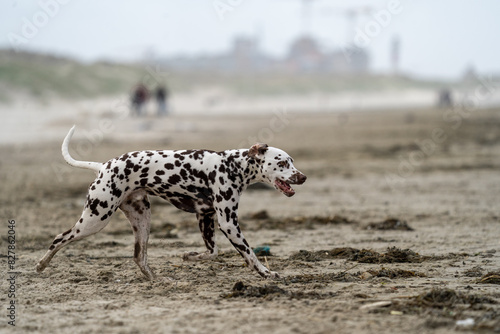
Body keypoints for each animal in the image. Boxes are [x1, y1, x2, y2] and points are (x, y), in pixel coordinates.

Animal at [35, 125, 306, 280]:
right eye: (282, 163)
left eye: (292, 162)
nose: (302, 177)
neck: (232, 165)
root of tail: (103, 166)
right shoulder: (228, 223)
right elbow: (249, 253)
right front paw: (265, 272)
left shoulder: (206, 217)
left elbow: (213, 252)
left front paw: (191, 256)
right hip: (94, 219)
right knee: (59, 238)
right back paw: (41, 265)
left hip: (142, 221)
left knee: (139, 257)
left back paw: (155, 279)